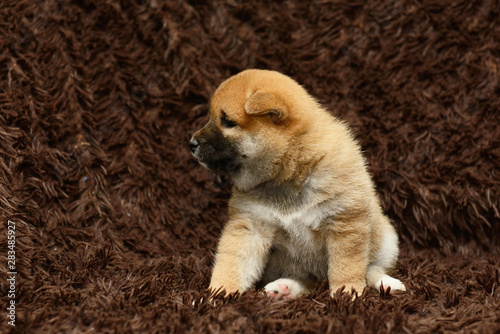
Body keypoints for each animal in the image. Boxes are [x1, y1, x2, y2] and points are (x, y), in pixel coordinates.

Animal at [189, 69, 404, 298]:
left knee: (373, 268)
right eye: (211, 118)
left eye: (228, 121)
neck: (289, 172)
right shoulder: (251, 225)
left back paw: (388, 283)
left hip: (387, 239)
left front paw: (346, 293)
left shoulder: (344, 222)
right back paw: (283, 289)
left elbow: (347, 267)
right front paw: (219, 293)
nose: (191, 143)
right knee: (305, 282)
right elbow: (232, 263)